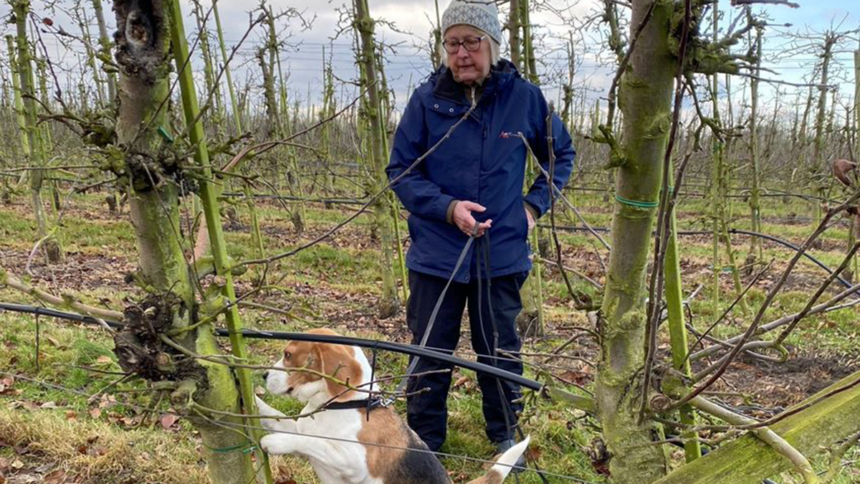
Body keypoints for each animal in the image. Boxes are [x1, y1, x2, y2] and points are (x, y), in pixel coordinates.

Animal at [254, 328, 532, 484]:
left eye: (288, 355)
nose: (263, 375)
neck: (341, 405)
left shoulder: (353, 462)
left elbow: (316, 442)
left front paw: (276, 442)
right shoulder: (301, 427)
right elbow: (276, 417)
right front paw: (252, 399)